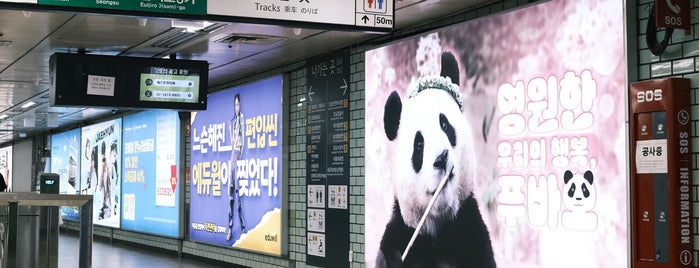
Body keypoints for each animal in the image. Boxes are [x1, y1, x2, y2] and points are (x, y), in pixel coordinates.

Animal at [378, 51, 498, 268]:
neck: (437, 231)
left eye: (445, 125)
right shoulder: (401, 232)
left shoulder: (472, 233)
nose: (441, 158)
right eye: (419, 144)